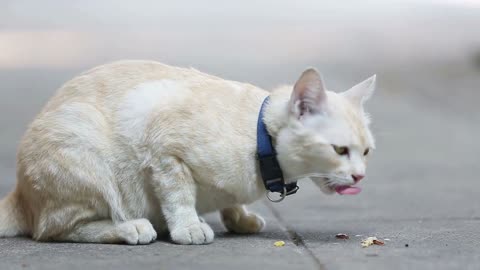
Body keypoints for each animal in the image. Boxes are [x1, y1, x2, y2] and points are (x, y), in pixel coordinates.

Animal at [0, 60, 376, 245]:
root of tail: (19, 194)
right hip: (81, 141)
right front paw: (188, 227)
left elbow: (229, 201)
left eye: (366, 152)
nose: (360, 176)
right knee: (53, 230)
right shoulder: (163, 150)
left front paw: (238, 218)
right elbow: (178, 196)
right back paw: (132, 227)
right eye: (340, 150)